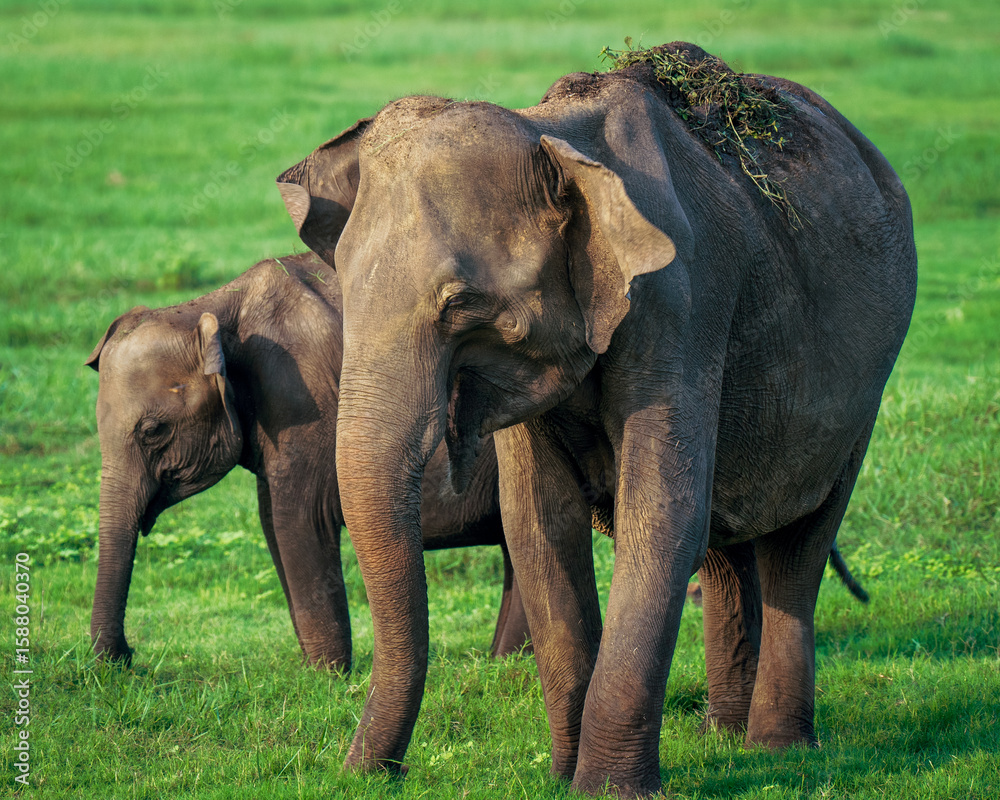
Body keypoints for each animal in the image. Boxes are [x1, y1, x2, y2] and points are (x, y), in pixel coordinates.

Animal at [86, 251, 530, 671]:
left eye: (153, 430)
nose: (128, 657)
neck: (209, 308)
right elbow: (270, 522)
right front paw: (316, 670)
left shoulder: (302, 398)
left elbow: (297, 519)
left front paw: (326, 675)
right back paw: (504, 659)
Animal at [277, 42, 915, 796]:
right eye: (341, 284)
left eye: (461, 305)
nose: (372, 773)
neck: (553, 134)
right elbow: (538, 522)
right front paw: (562, 777)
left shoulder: (681, 304)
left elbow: (660, 511)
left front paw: (606, 787)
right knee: (726, 540)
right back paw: (723, 738)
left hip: (866, 388)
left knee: (799, 542)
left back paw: (776, 751)